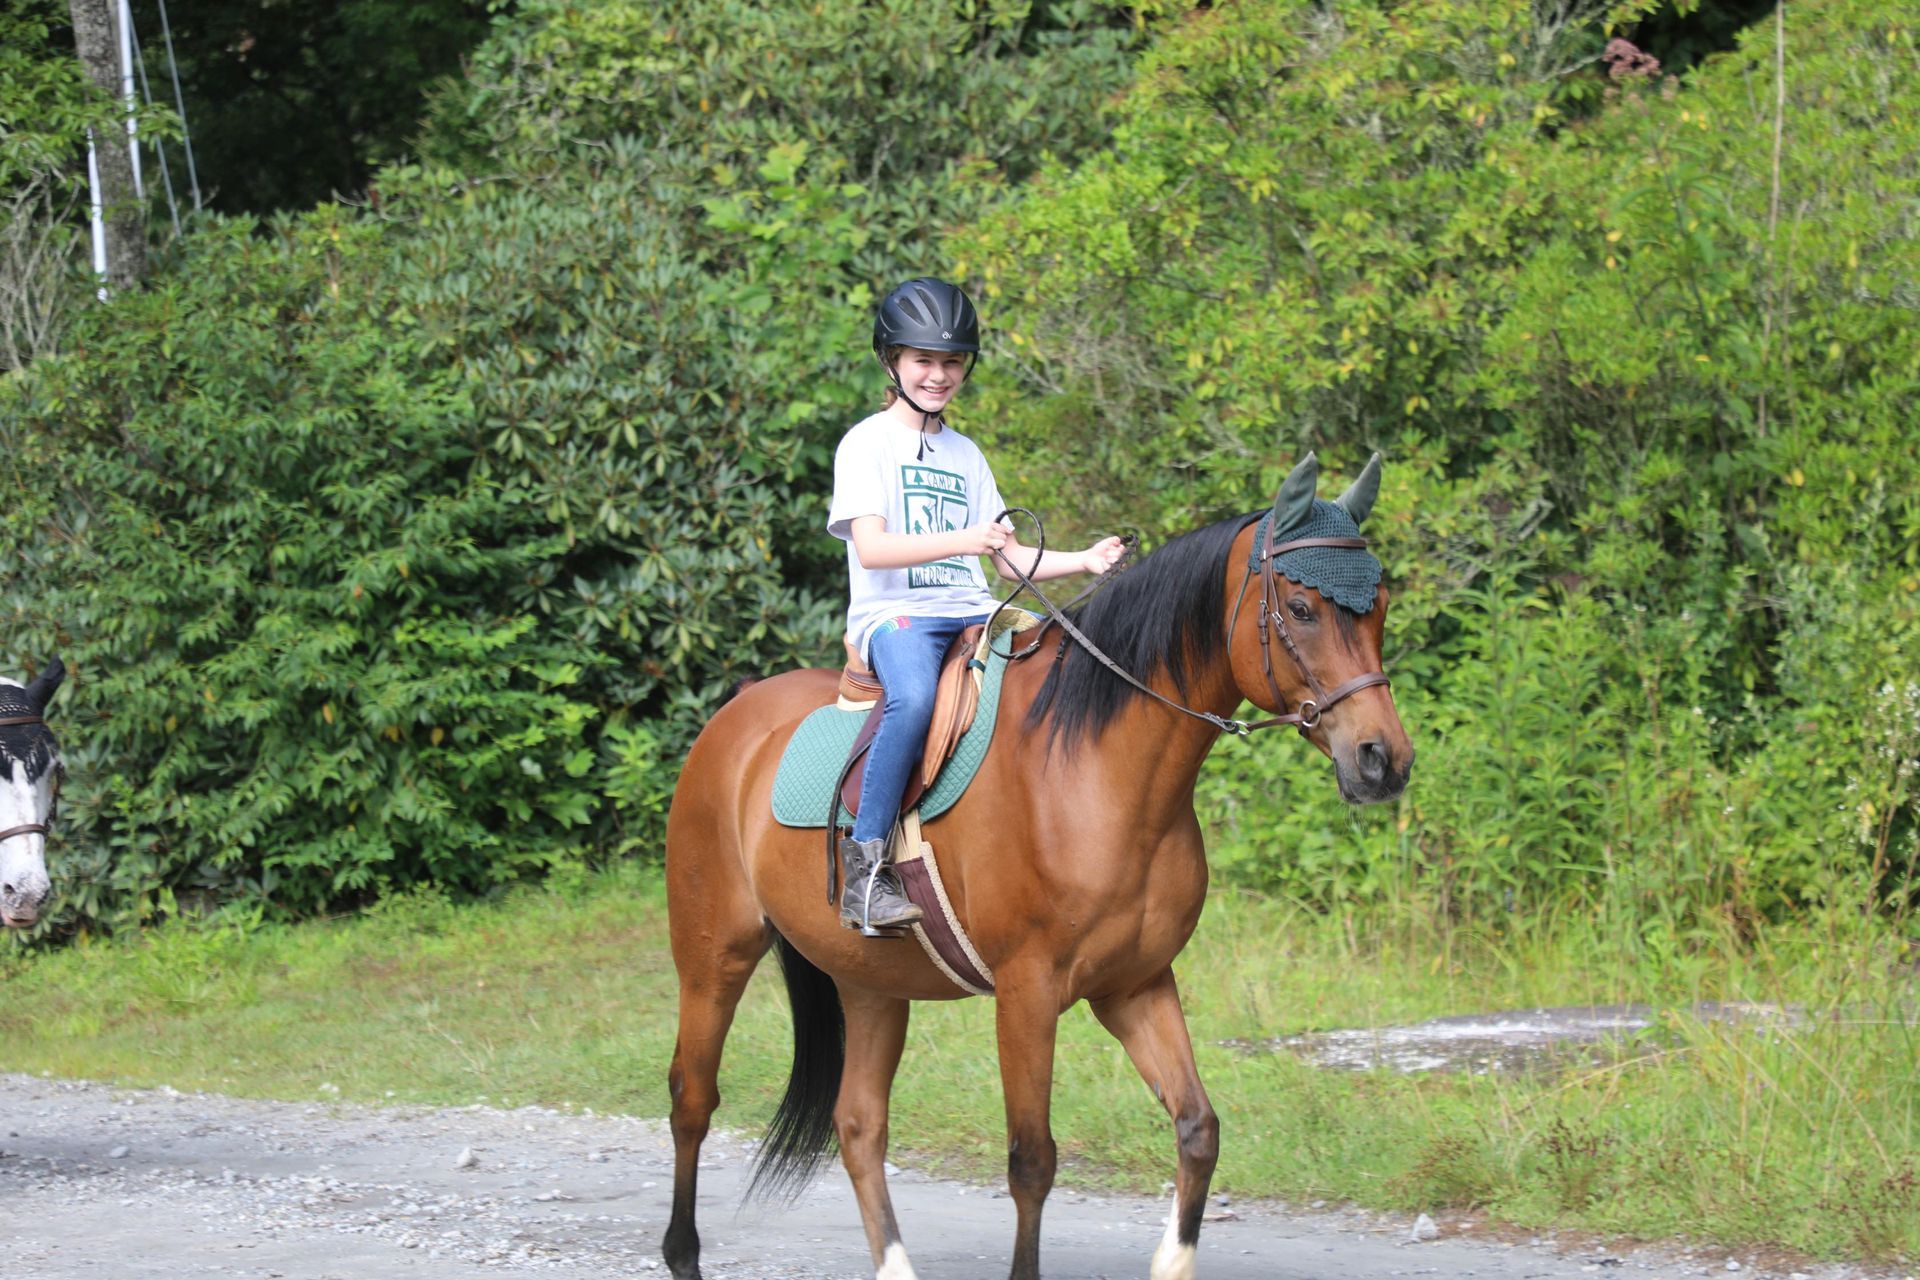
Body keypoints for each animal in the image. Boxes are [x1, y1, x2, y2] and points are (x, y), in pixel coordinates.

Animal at [662, 453, 1413, 1280]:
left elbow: (1198, 1128)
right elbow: (1031, 1160)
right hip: (715, 959)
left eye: (1378, 605)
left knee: (858, 1124)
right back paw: (682, 1254)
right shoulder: (1027, 993)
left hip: (870, 982)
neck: (1093, 771)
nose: (1383, 761)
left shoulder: (1135, 985)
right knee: (692, 1099)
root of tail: (733, 719)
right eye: (1303, 607)